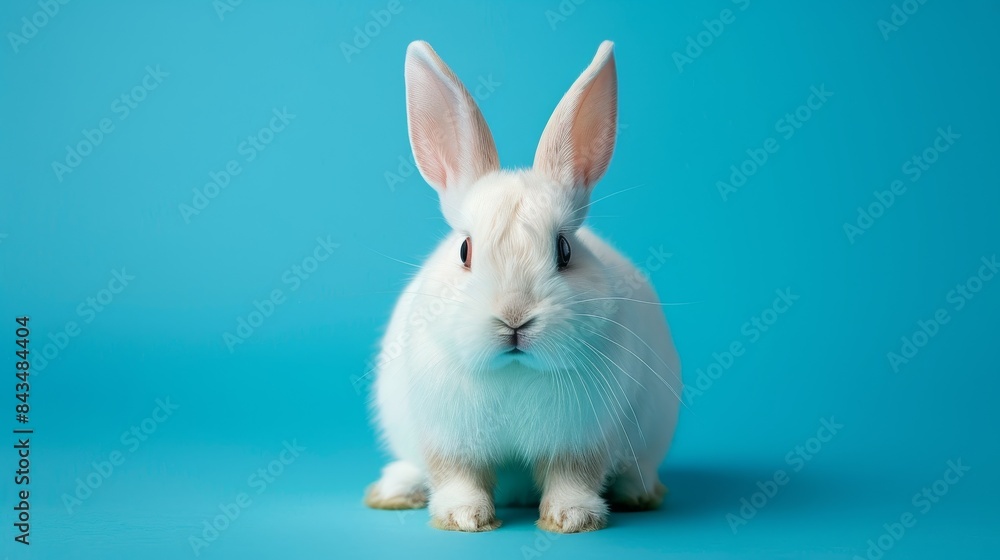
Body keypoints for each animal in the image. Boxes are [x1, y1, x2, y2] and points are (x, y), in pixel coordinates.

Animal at [363, 40, 682, 533]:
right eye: (465, 251)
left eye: (565, 250)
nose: (514, 318)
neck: (514, 371)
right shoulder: (449, 438)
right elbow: (458, 476)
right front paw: (464, 518)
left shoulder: (583, 438)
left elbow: (573, 476)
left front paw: (571, 518)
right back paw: (395, 491)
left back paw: (638, 492)